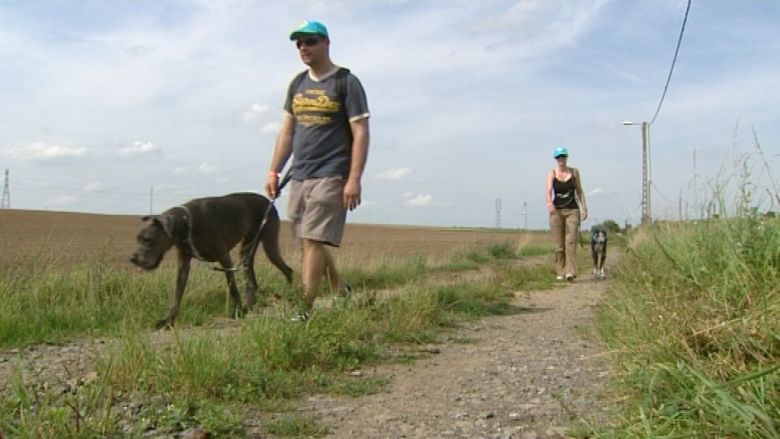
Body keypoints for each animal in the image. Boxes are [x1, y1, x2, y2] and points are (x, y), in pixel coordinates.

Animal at [130, 191, 292, 328]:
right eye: (137, 239)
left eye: (148, 240)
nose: (132, 259)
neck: (187, 225)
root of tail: (269, 201)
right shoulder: (183, 264)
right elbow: (177, 295)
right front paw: (168, 320)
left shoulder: (225, 258)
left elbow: (233, 288)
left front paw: (237, 312)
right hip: (247, 248)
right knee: (251, 280)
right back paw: (250, 305)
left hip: (269, 243)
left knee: (287, 269)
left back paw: (290, 293)